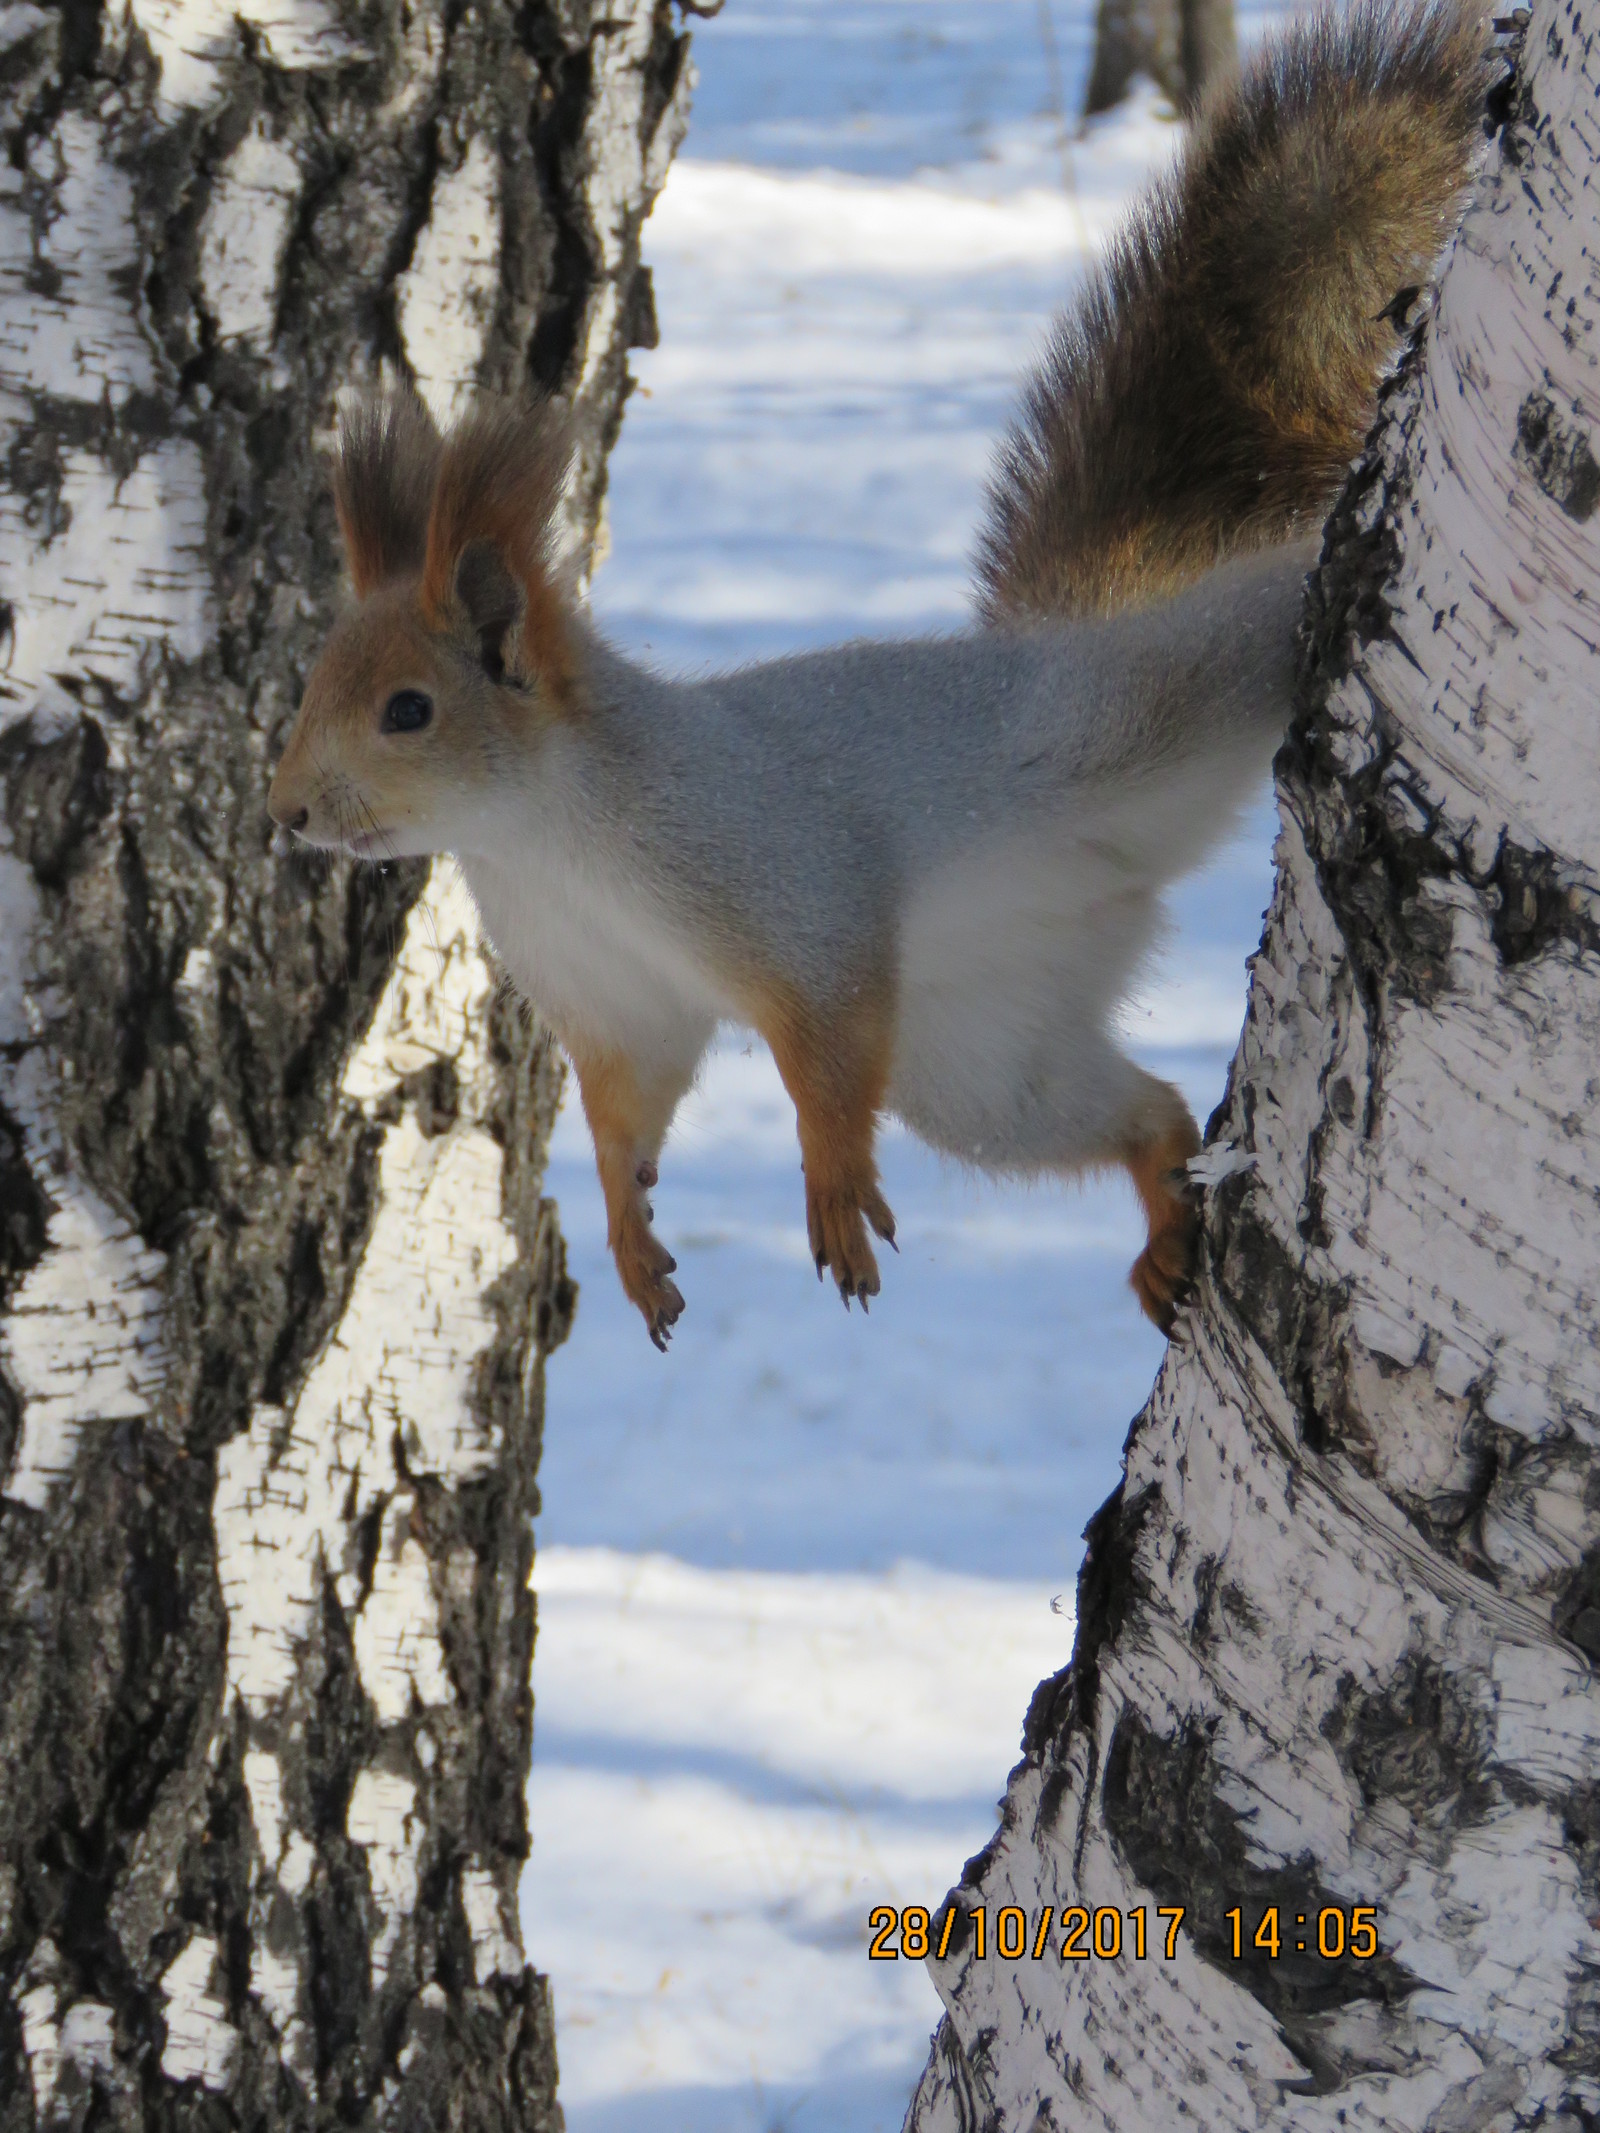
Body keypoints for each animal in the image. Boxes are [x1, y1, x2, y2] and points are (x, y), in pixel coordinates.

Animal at [266, 0, 1493, 1348]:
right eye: (312, 686)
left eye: (409, 711)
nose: (286, 811)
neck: (539, 836)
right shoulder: (614, 1001)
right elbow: (624, 1116)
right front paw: (633, 1242)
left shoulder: (782, 886)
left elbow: (824, 1048)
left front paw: (833, 1188)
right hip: (982, 1061)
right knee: (1147, 1110)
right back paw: (1165, 1230)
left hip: (1149, 697)